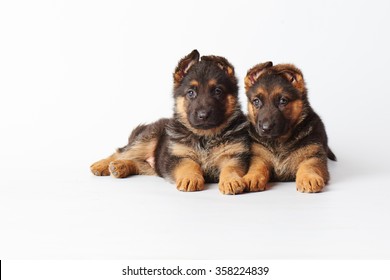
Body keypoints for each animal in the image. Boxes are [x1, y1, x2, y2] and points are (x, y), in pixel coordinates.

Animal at [90, 49, 250, 195]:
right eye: (191, 93)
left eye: (218, 91)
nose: (203, 115)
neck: (204, 136)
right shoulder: (177, 156)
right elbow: (189, 165)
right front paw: (190, 178)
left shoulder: (234, 155)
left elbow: (230, 168)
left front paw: (231, 180)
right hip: (147, 139)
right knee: (122, 151)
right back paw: (102, 165)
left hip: (153, 165)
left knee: (138, 163)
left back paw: (120, 167)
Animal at [242, 61, 336, 192]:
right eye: (256, 101)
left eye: (283, 101)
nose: (266, 128)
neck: (279, 141)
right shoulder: (258, 156)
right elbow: (257, 166)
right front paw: (252, 176)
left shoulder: (313, 155)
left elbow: (309, 166)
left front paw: (309, 178)